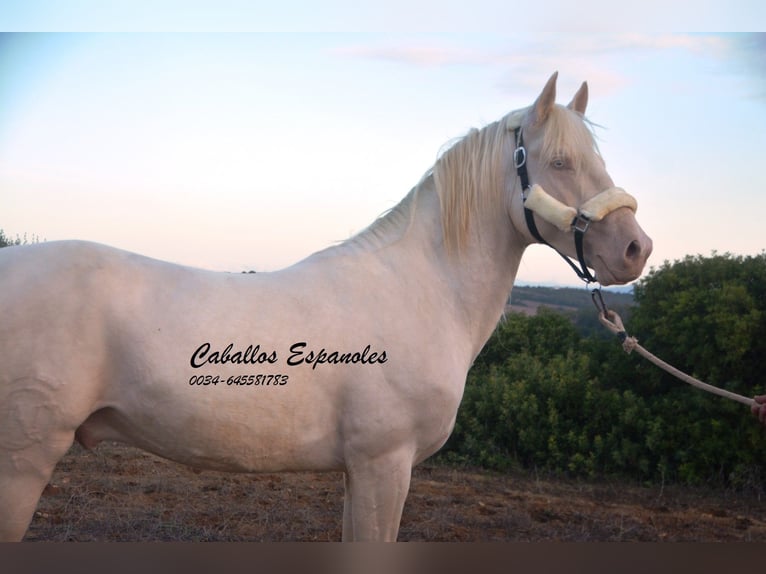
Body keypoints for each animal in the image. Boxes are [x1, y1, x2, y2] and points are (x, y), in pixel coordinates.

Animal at [0, 73, 656, 544]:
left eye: (597, 158)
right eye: (560, 162)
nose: (636, 249)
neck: (420, 287)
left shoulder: (359, 471)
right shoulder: (383, 464)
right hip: (24, 458)